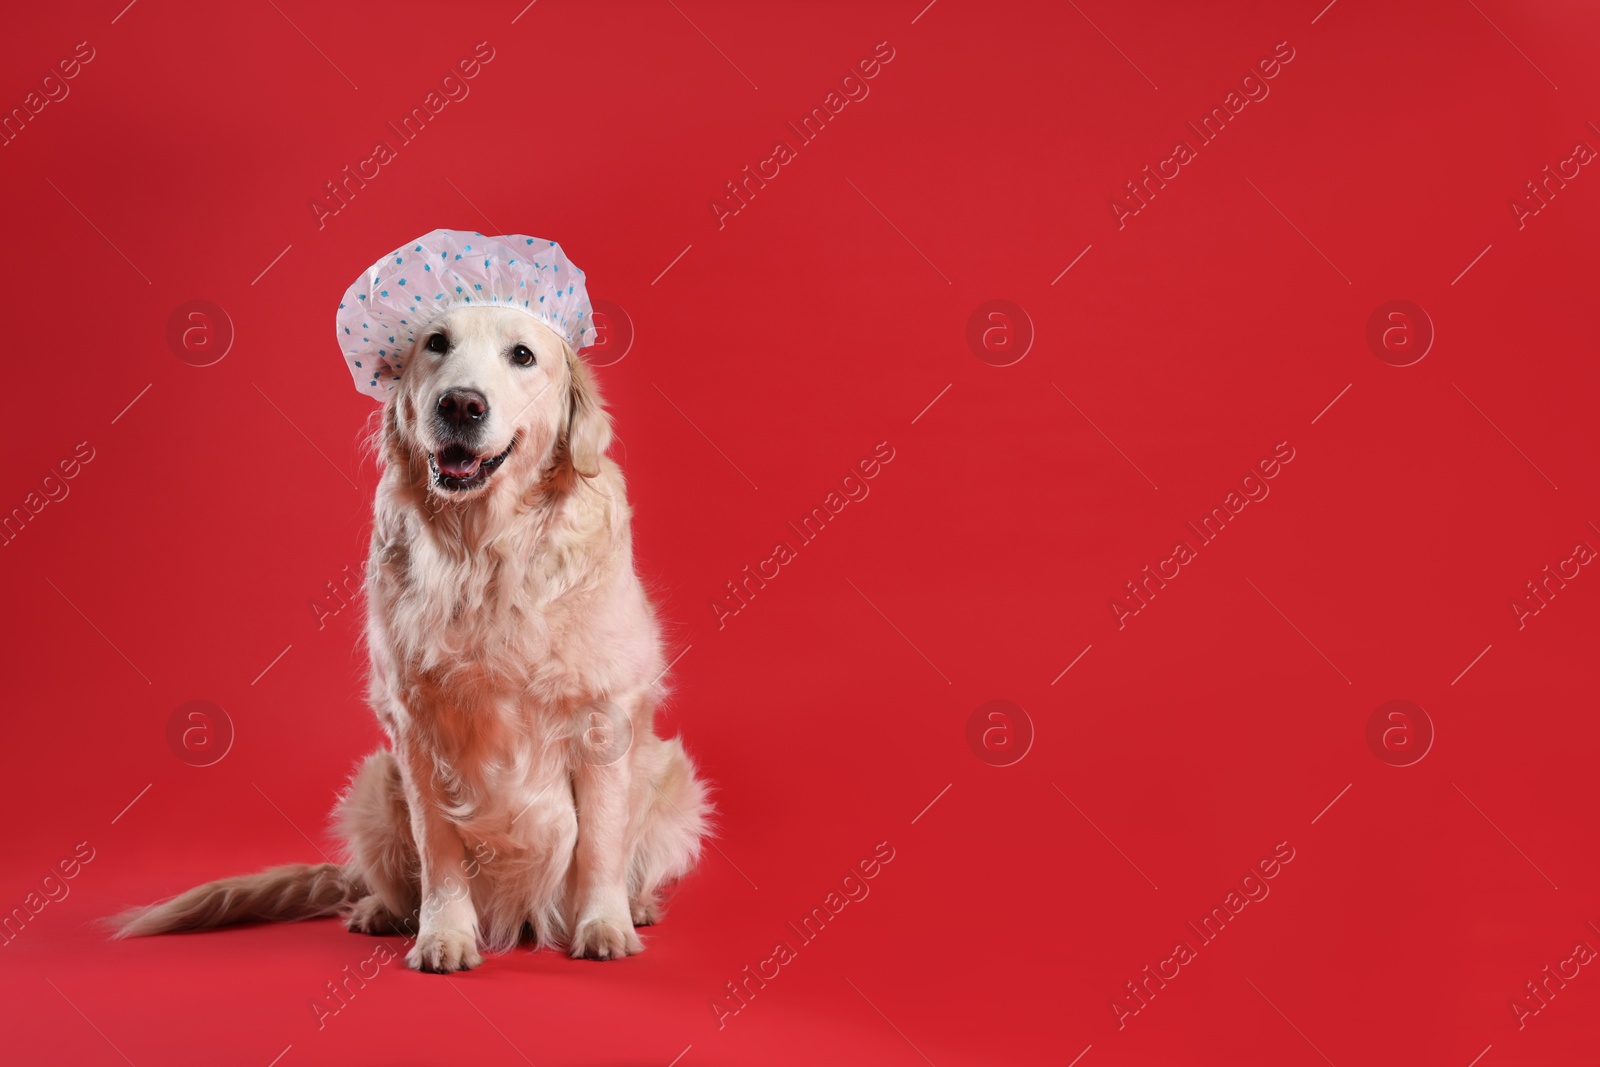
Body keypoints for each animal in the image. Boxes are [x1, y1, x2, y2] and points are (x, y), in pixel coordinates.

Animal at [118, 303, 707, 972]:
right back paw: (381, 910)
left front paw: (603, 925)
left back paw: (637, 906)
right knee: (393, 880)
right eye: (436, 344)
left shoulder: (603, 716)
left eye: (523, 355)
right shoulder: (417, 728)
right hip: (377, 781)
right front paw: (444, 935)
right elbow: (439, 851)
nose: (460, 405)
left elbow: (600, 843)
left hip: (673, 777)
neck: (486, 554)